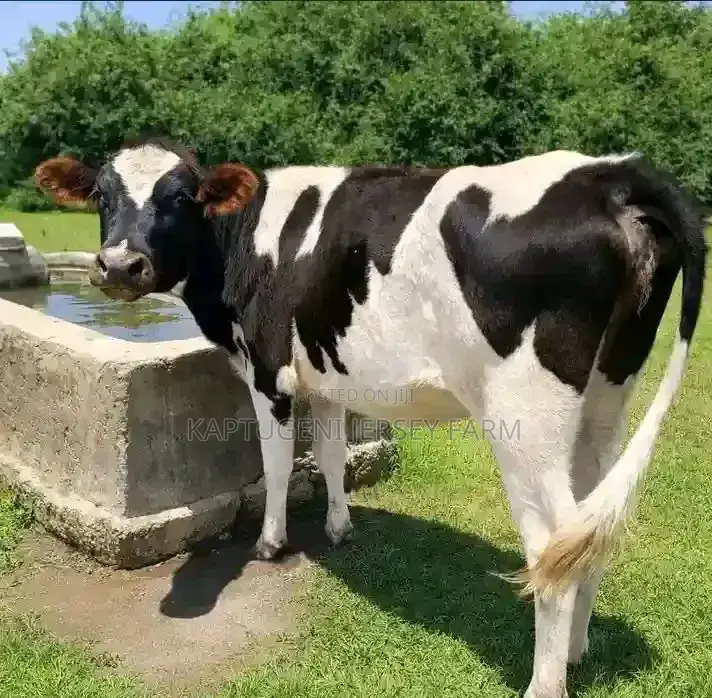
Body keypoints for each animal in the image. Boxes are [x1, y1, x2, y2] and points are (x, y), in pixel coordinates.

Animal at [34, 135, 706, 698]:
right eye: (102, 195)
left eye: (180, 197)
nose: (119, 265)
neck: (244, 244)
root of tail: (610, 175)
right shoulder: (326, 371)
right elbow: (331, 454)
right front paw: (338, 527)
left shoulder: (268, 370)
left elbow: (276, 464)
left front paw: (271, 542)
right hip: (607, 393)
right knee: (589, 528)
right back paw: (574, 654)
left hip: (526, 416)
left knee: (550, 546)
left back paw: (544, 685)